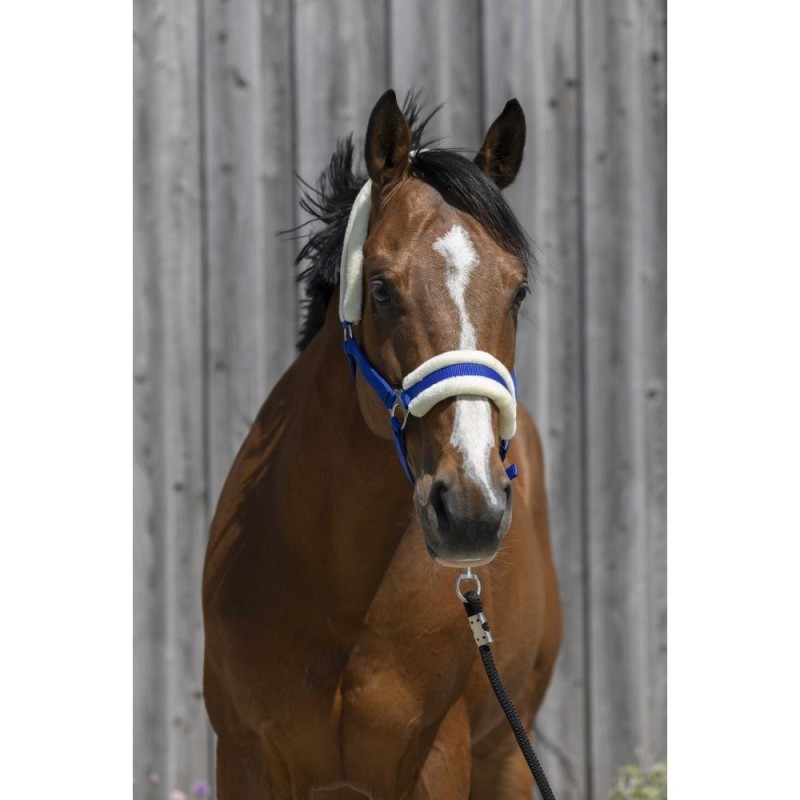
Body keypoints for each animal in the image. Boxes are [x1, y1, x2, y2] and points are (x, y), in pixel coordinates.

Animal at [202, 89, 562, 799]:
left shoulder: (438, 759)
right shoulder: (244, 758)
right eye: (380, 288)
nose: (471, 509)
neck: (340, 592)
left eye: (518, 290)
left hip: (509, 751)